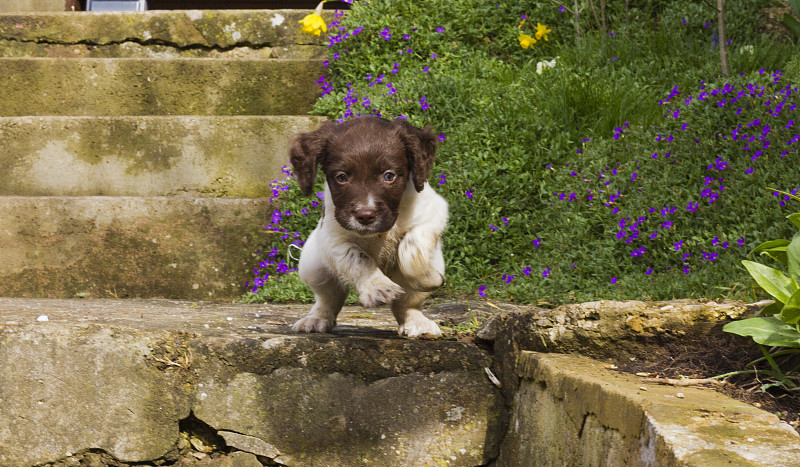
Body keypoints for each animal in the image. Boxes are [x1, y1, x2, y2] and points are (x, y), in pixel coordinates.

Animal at [288, 116, 450, 336]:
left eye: (389, 175)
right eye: (341, 177)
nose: (365, 216)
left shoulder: (433, 212)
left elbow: (410, 253)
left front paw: (429, 279)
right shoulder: (333, 235)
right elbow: (358, 258)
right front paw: (378, 287)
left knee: (406, 303)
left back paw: (417, 322)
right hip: (312, 265)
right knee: (328, 298)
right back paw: (316, 319)